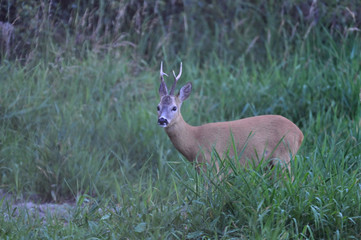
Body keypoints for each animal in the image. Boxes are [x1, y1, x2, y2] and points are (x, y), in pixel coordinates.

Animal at [156, 62, 302, 172]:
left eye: (174, 107)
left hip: (283, 156)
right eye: (158, 107)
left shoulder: (213, 163)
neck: (193, 139)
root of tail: (300, 134)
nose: (162, 120)